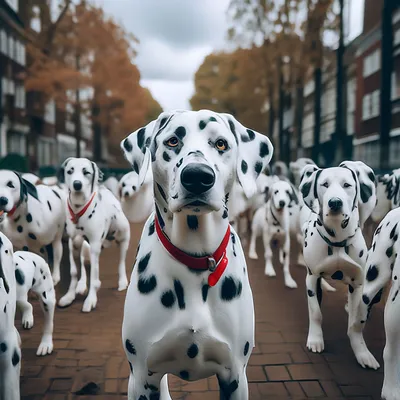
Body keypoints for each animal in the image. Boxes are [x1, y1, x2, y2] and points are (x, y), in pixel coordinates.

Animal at [58, 159, 130, 312]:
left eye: (86, 172)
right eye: (70, 171)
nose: (77, 184)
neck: (79, 211)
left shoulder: (95, 246)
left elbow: (94, 277)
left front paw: (91, 299)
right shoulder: (73, 245)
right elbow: (74, 272)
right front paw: (70, 295)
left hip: (123, 240)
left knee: (121, 262)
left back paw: (122, 282)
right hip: (85, 248)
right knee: (84, 264)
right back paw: (81, 285)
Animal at [120, 110, 274, 400]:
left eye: (221, 144)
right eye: (172, 141)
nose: (197, 176)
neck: (194, 259)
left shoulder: (235, 376)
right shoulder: (143, 377)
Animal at [298, 161, 380, 370]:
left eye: (347, 185)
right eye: (325, 184)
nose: (335, 202)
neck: (337, 240)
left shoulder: (357, 284)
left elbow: (356, 323)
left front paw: (362, 353)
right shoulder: (312, 278)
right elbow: (316, 312)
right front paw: (315, 340)